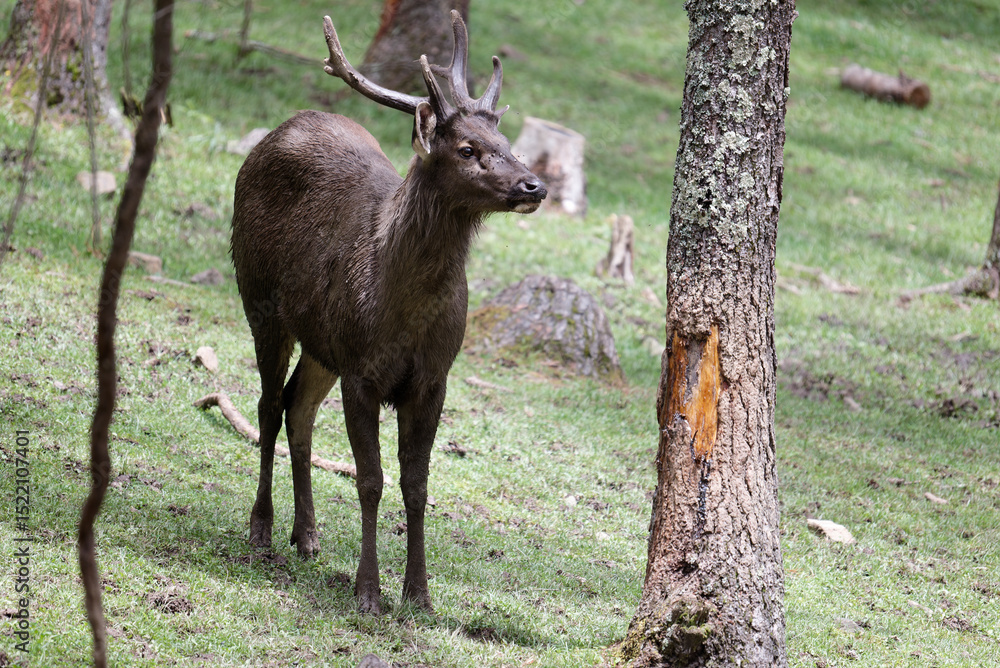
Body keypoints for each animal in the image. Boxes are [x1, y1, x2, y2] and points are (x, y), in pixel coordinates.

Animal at [229, 11, 546, 614]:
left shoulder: (432, 378)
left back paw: (307, 536)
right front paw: (369, 592)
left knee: (298, 407)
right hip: (259, 299)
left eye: (506, 141)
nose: (534, 184)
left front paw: (419, 594)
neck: (405, 314)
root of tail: (277, 132)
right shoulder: (363, 372)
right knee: (268, 406)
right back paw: (261, 529)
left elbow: (416, 485)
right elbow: (370, 479)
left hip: (324, 340)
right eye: (467, 148)